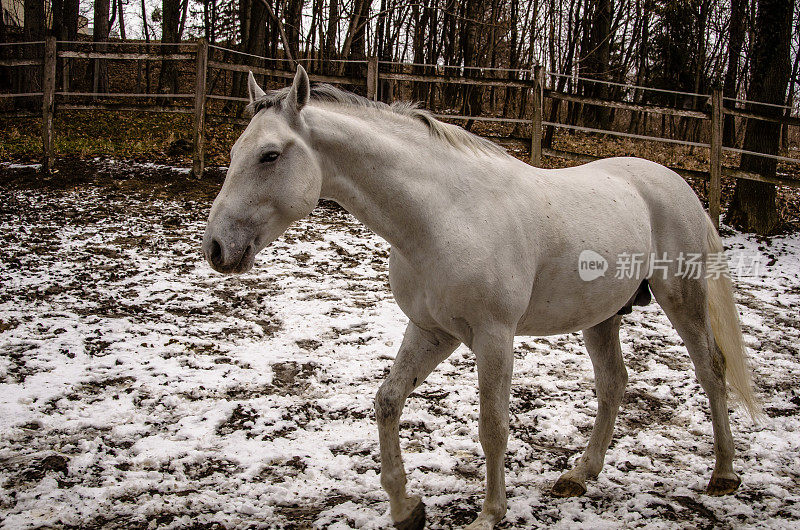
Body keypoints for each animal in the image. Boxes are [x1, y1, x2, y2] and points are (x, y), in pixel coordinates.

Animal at [200, 68, 756, 524]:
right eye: (234, 153)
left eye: (270, 155)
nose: (216, 248)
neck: (444, 215)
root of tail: (678, 185)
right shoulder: (431, 330)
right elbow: (387, 401)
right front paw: (405, 508)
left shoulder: (493, 337)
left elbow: (492, 426)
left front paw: (489, 514)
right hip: (602, 315)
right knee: (613, 384)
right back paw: (580, 475)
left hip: (681, 297)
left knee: (712, 371)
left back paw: (724, 475)